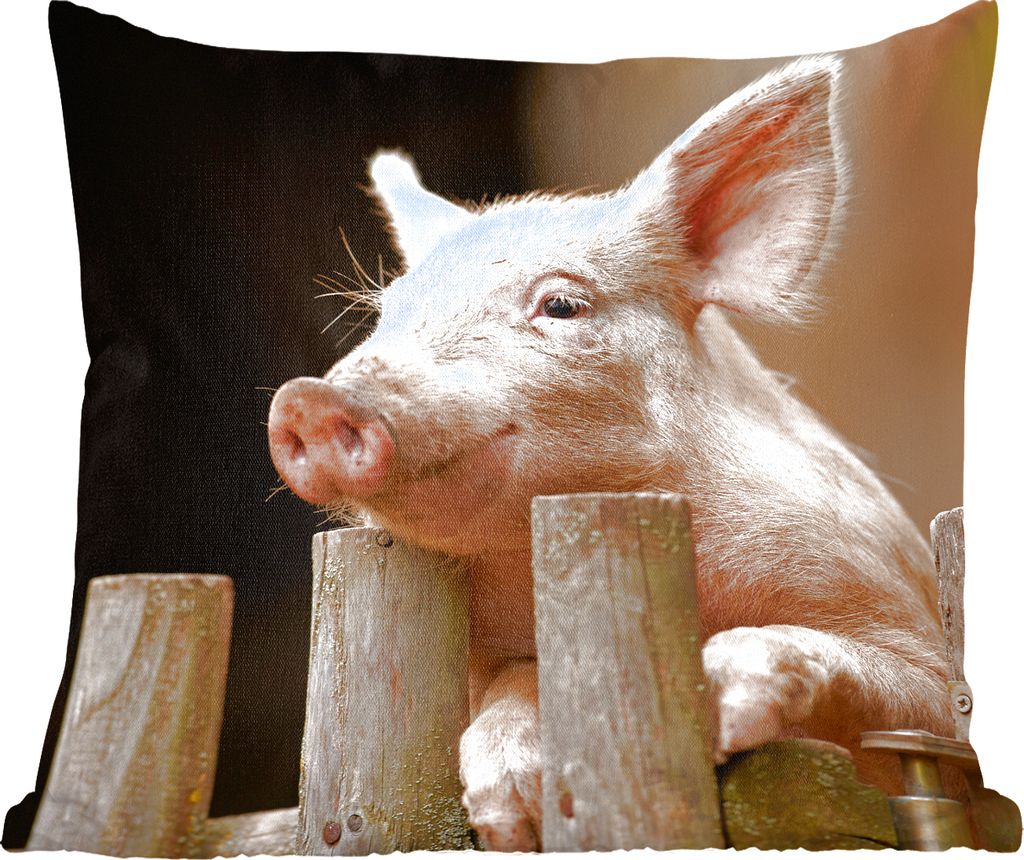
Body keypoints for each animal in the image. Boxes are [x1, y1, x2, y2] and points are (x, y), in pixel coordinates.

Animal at [267, 54, 953, 851]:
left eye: (562, 305)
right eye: (386, 316)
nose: (308, 399)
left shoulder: (905, 622)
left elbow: (911, 695)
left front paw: (713, 693)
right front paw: (510, 819)